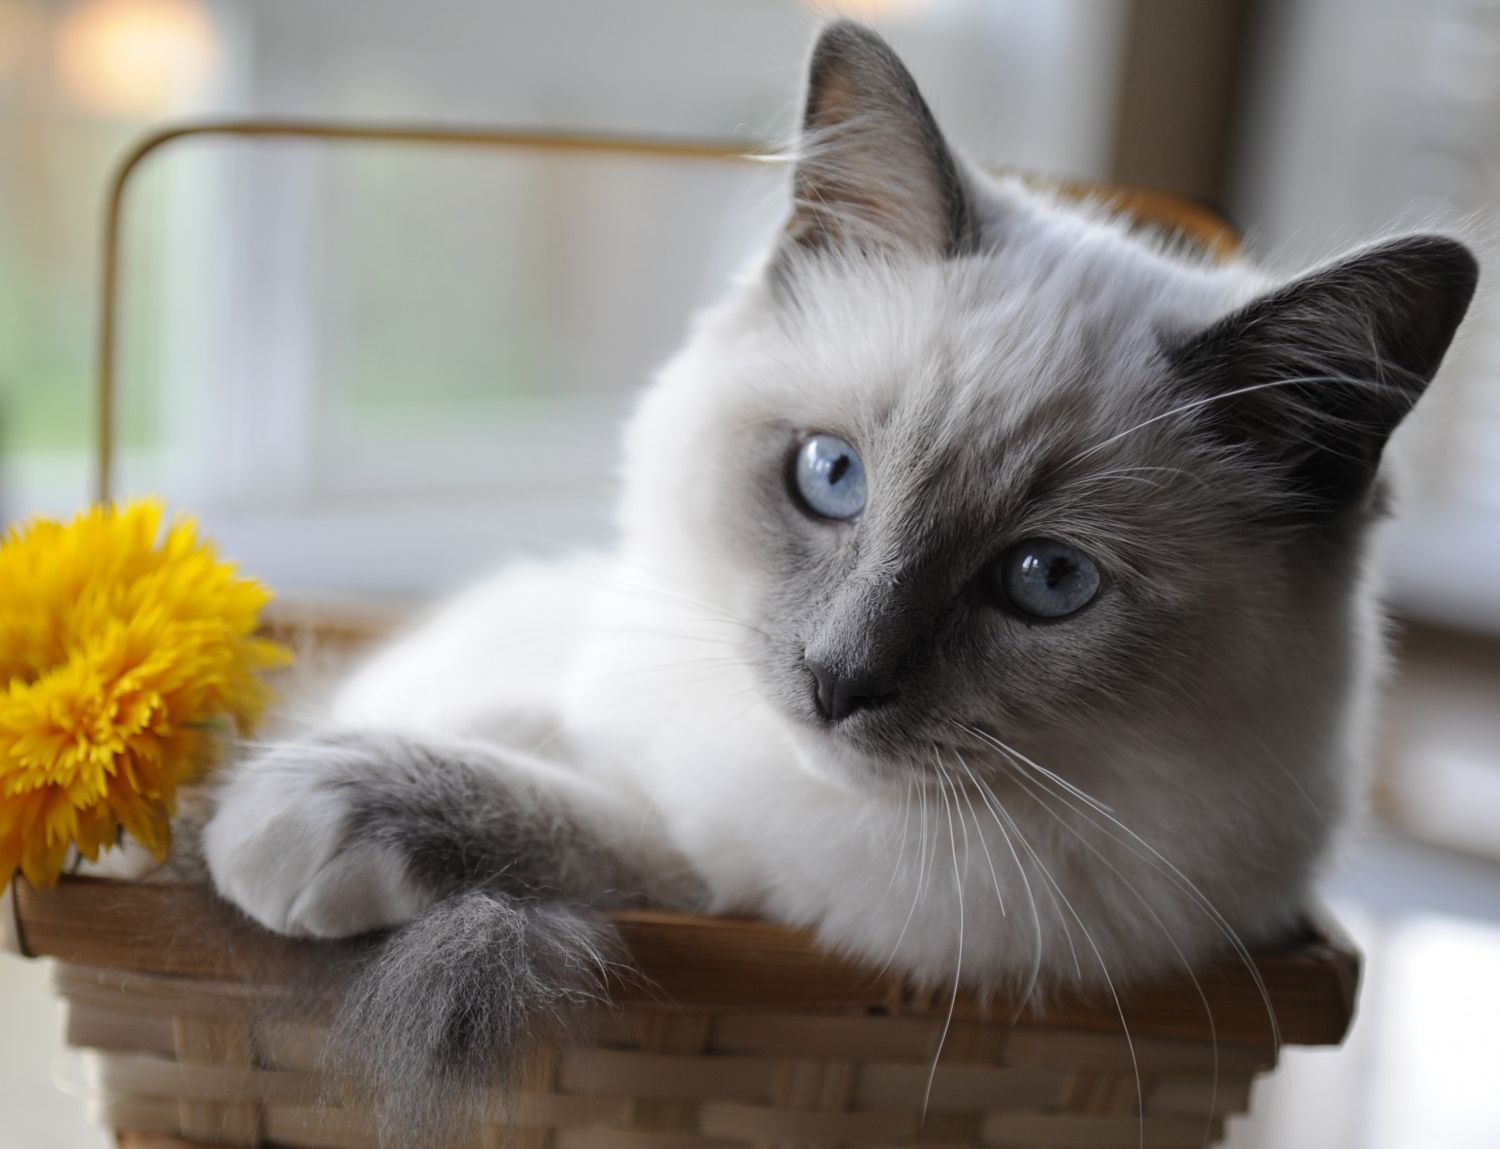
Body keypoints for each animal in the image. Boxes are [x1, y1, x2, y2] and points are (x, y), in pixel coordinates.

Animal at [199, 18, 1476, 1140]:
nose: (836, 682)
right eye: (831, 476)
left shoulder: (786, 894)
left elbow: (610, 834)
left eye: (1047, 579)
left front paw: (268, 813)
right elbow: (499, 723)